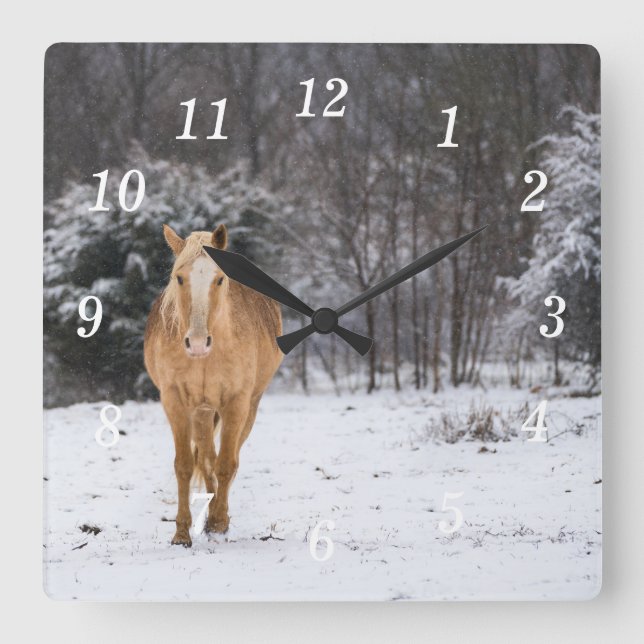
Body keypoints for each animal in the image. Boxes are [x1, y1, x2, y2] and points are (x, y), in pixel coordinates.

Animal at [144, 223, 283, 546]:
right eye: (179, 277)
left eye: (220, 279)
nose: (197, 343)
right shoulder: (175, 402)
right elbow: (185, 465)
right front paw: (182, 533)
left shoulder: (236, 402)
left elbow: (227, 463)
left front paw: (219, 521)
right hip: (203, 411)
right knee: (207, 457)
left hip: (249, 406)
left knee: (229, 458)